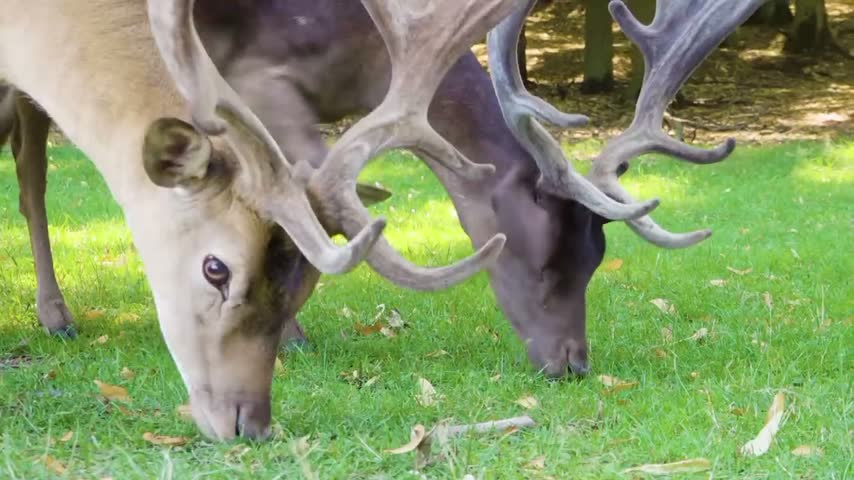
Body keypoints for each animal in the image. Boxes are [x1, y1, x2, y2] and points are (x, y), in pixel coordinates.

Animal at [1, 0, 765, 439]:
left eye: (596, 257)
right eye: (540, 256)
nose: (572, 364)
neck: (366, 52)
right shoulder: (262, 77)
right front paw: (296, 335)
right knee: (32, 171)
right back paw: (54, 314)